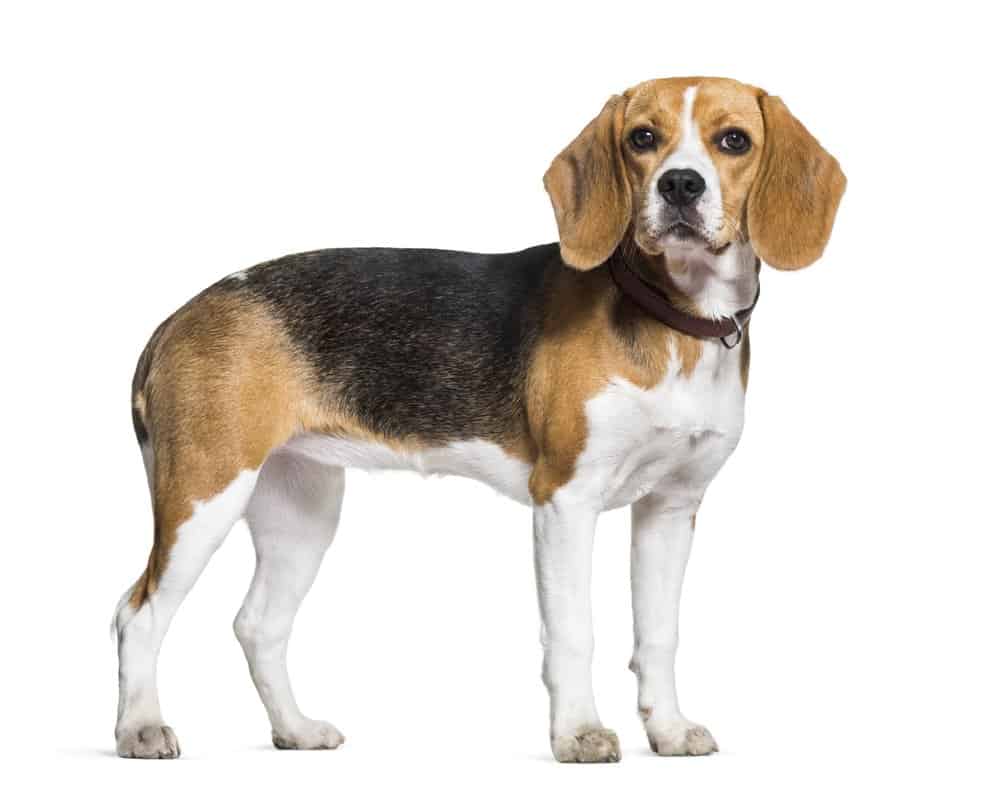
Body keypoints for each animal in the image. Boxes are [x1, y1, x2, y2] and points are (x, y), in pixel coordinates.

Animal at [113, 76, 844, 760]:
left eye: (734, 141)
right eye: (642, 138)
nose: (680, 185)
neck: (673, 318)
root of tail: (179, 315)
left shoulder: (671, 507)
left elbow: (659, 633)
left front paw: (666, 730)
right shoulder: (565, 501)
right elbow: (573, 631)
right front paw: (579, 734)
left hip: (302, 510)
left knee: (258, 623)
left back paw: (294, 729)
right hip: (203, 495)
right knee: (136, 614)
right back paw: (141, 729)